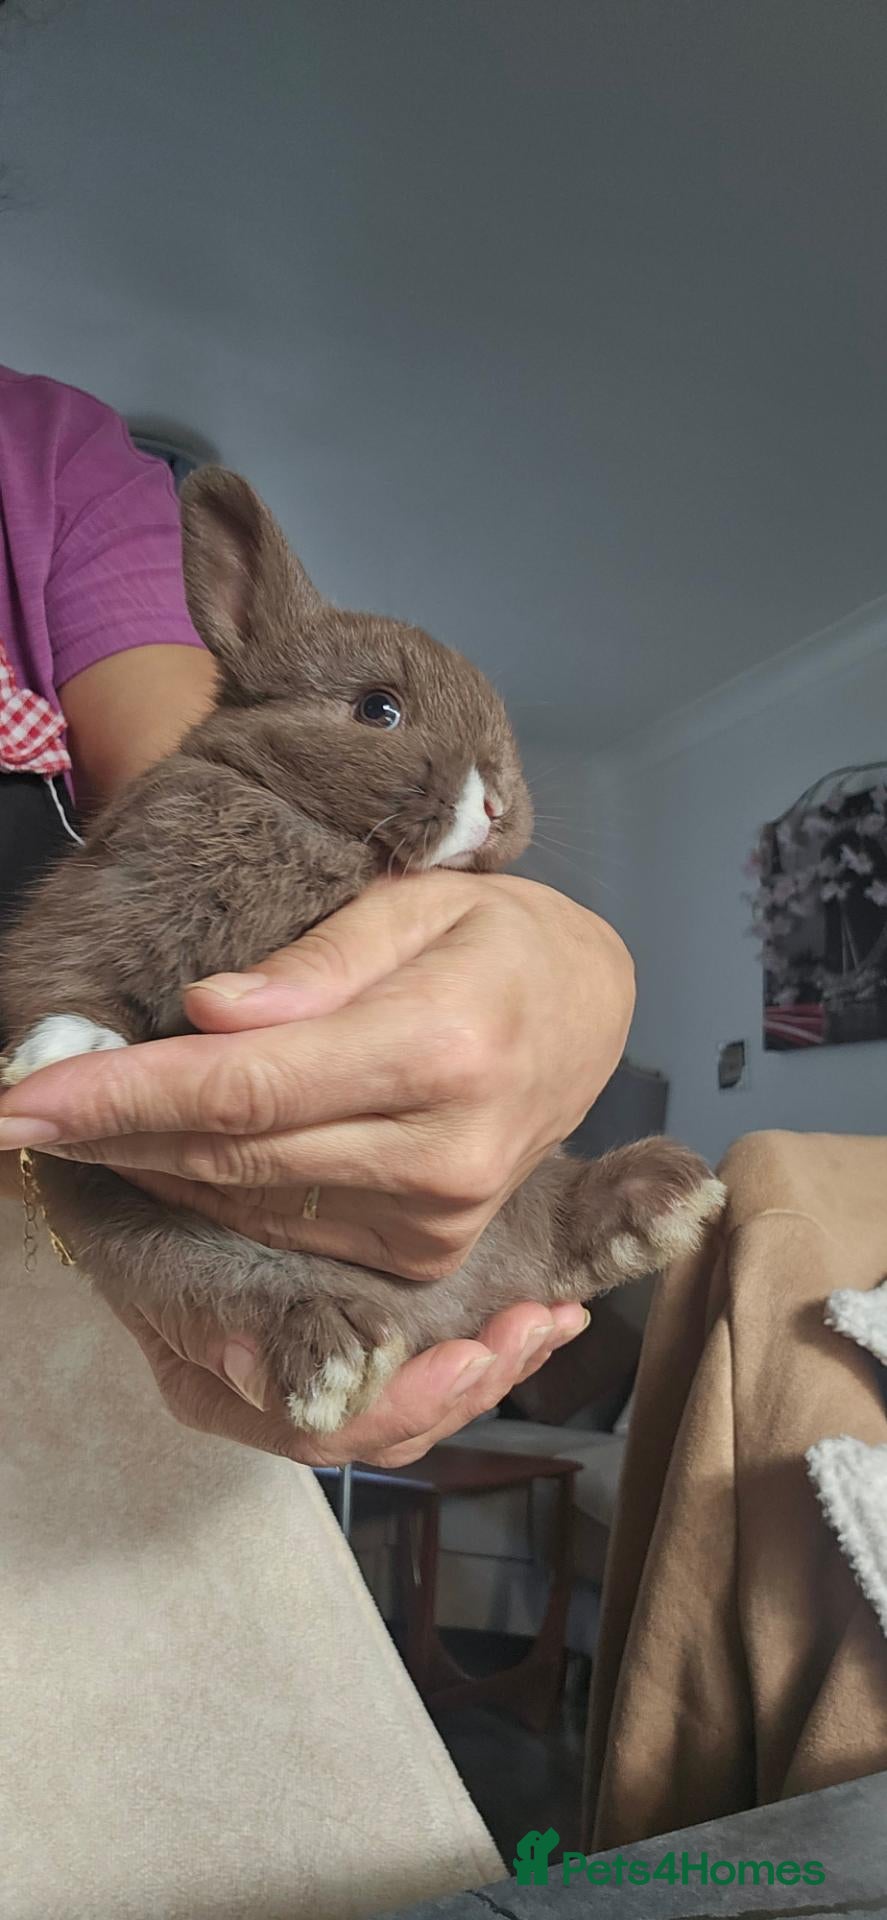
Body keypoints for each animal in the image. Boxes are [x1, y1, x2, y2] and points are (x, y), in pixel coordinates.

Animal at [0, 468, 724, 1434]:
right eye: (378, 709)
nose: (496, 803)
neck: (317, 828)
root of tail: (457, 1309)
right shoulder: (103, 891)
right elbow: (65, 973)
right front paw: (60, 1053)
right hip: (182, 1252)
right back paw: (338, 1350)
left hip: (527, 1179)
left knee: (560, 1226)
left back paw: (660, 1199)